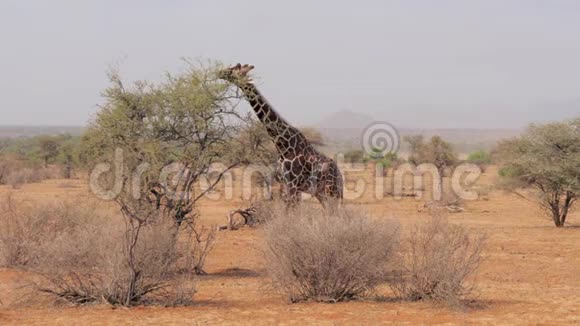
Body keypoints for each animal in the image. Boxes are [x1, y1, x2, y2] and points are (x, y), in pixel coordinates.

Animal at [220, 63, 342, 209]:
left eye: (234, 69)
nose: (219, 72)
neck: (282, 145)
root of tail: (340, 175)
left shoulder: (294, 185)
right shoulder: (284, 185)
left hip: (332, 190)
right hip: (320, 192)